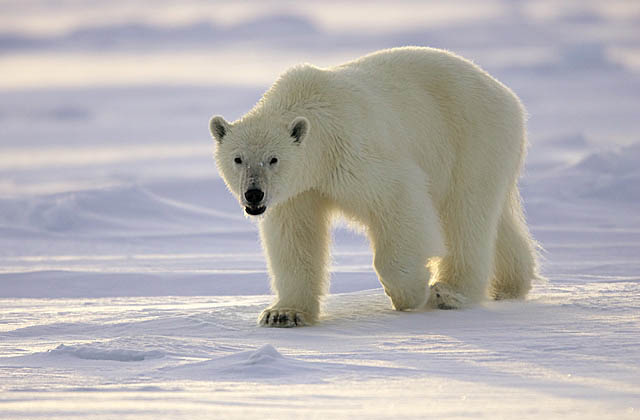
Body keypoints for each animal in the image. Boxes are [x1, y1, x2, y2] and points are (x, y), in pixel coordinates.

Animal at [209, 46, 540, 328]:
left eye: (273, 159)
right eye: (238, 159)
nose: (254, 194)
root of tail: (506, 94)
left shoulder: (355, 153)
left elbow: (399, 198)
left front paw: (409, 292)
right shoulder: (300, 190)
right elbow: (295, 238)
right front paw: (283, 313)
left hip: (473, 137)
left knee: (465, 216)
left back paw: (449, 292)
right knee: (498, 221)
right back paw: (511, 285)